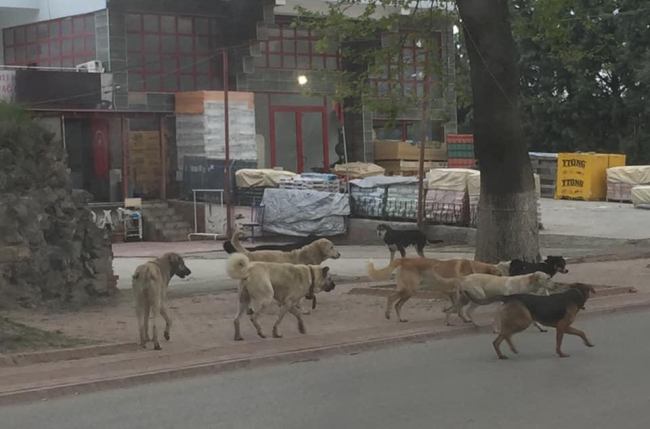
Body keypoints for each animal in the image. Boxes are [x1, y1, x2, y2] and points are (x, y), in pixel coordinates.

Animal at [364, 256, 502, 322]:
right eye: (499, 275)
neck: (475, 269)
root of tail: (404, 259)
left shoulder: (453, 293)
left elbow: (457, 308)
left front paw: (454, 315)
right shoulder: (460, 293)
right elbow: (460, 309)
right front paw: (464, 319)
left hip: (410, 291)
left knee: (397, 304)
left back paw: (400, 318)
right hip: (410, 289)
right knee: (391, 297)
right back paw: (388, 314)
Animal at [460, 282, 592, 360]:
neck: (575, 295)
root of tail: (509, 297)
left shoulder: (565, 327)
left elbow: (581, 332)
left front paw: (588, 343)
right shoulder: (561, 326)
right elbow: (559, 344)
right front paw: (561, 354)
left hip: (515, 321)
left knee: (503, 337)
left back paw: (507, 352)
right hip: (524, 322)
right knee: (502, 337)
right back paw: (506, 352)